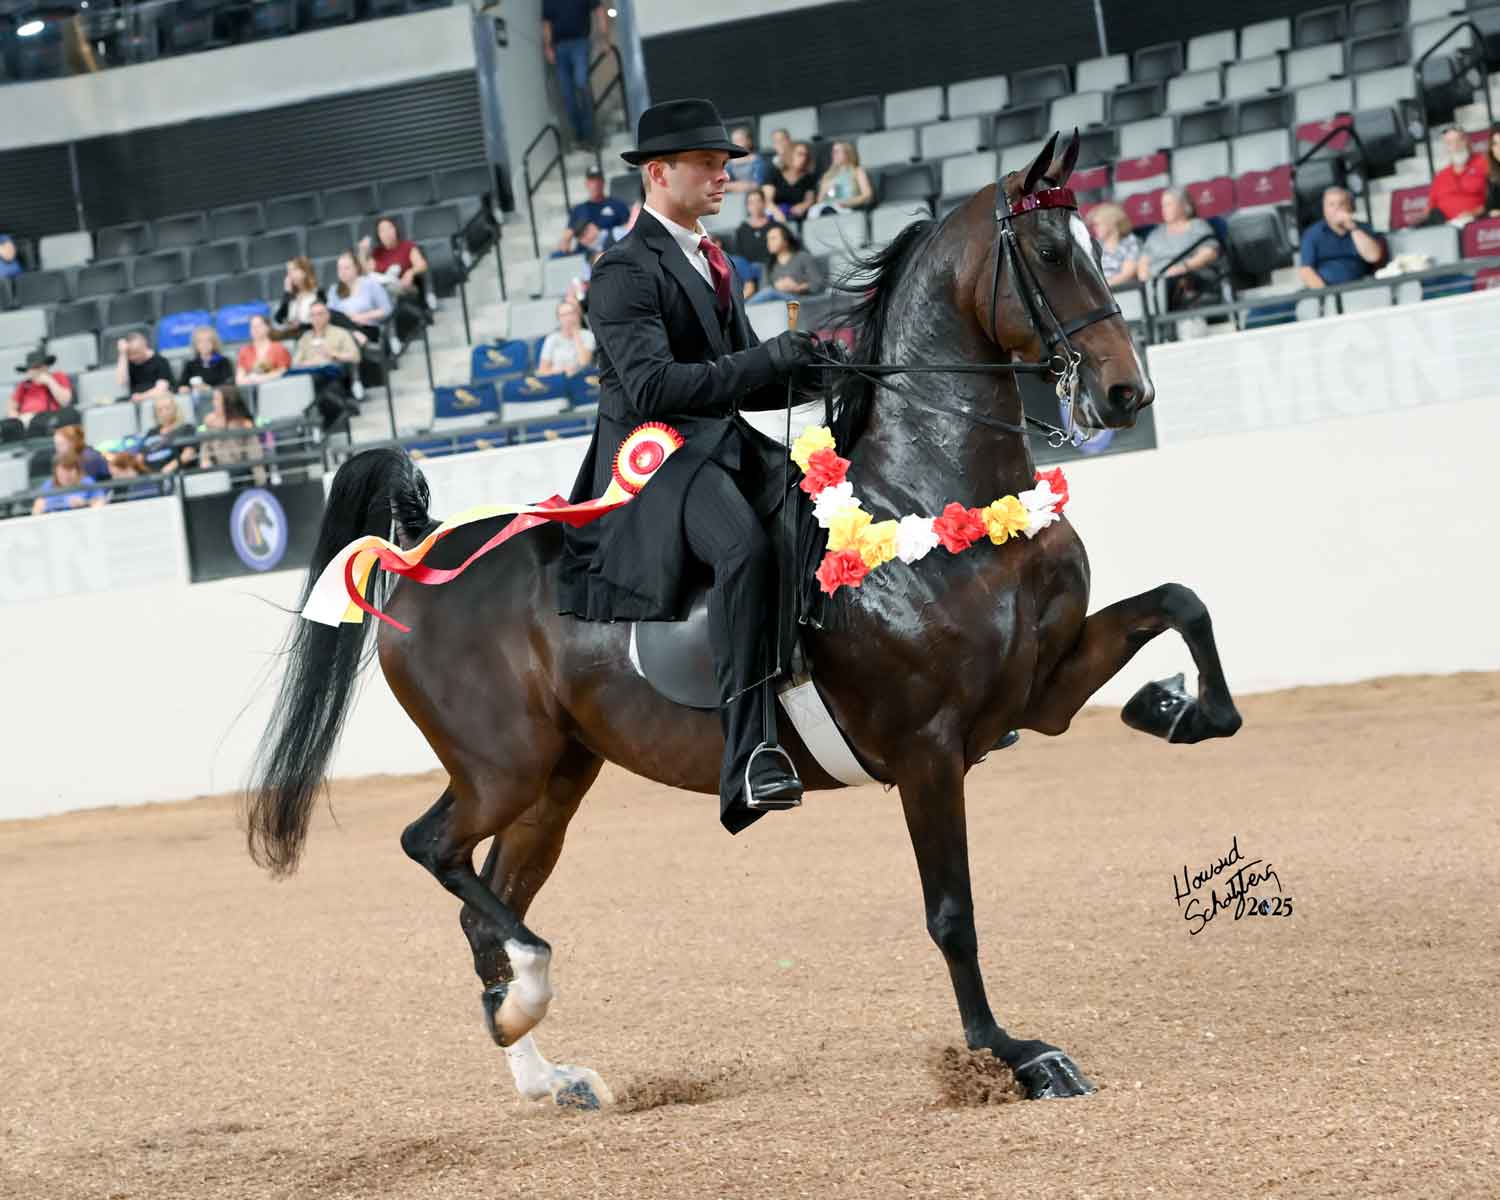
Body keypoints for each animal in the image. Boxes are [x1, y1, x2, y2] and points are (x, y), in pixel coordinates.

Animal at [246, 132, 1243, 1107]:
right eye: (1048, 254)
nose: (1126, 396)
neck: (932, 498)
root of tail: (422, 552)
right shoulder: (928, 747)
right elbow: (951, 913)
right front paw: (1015, 1056)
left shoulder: (1041, 690)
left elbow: (1181, 603)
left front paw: (1175, 708)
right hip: (502, 766)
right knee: (437, 853)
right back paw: (530, 987)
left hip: (556, 779)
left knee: (488, 896)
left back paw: (541, 1064)